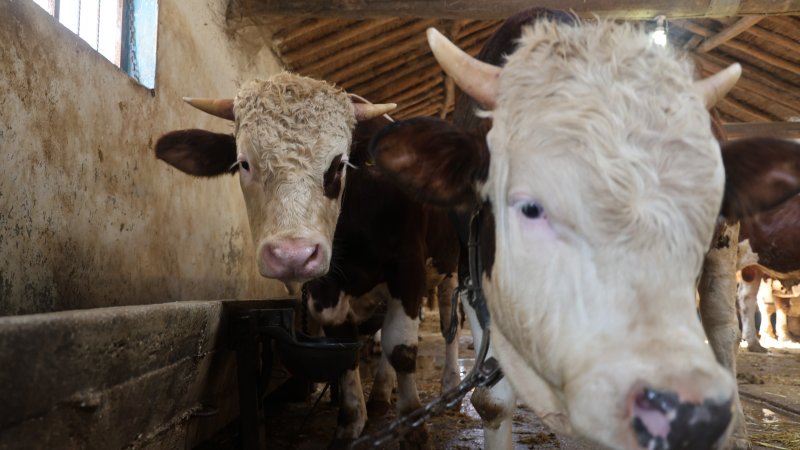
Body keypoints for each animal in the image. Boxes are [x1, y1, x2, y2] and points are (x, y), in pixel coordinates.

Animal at [153, 72, 461, 449]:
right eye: (244, 163)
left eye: (340, 164)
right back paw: (379, 395)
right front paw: (350, 423)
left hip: (451, 268)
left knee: (449, 322)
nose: (292, 255)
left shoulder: (408, 265)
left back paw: (450, 384)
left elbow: (401, 346)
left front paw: (414, 428)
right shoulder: (325, 286)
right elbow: (344, 344)